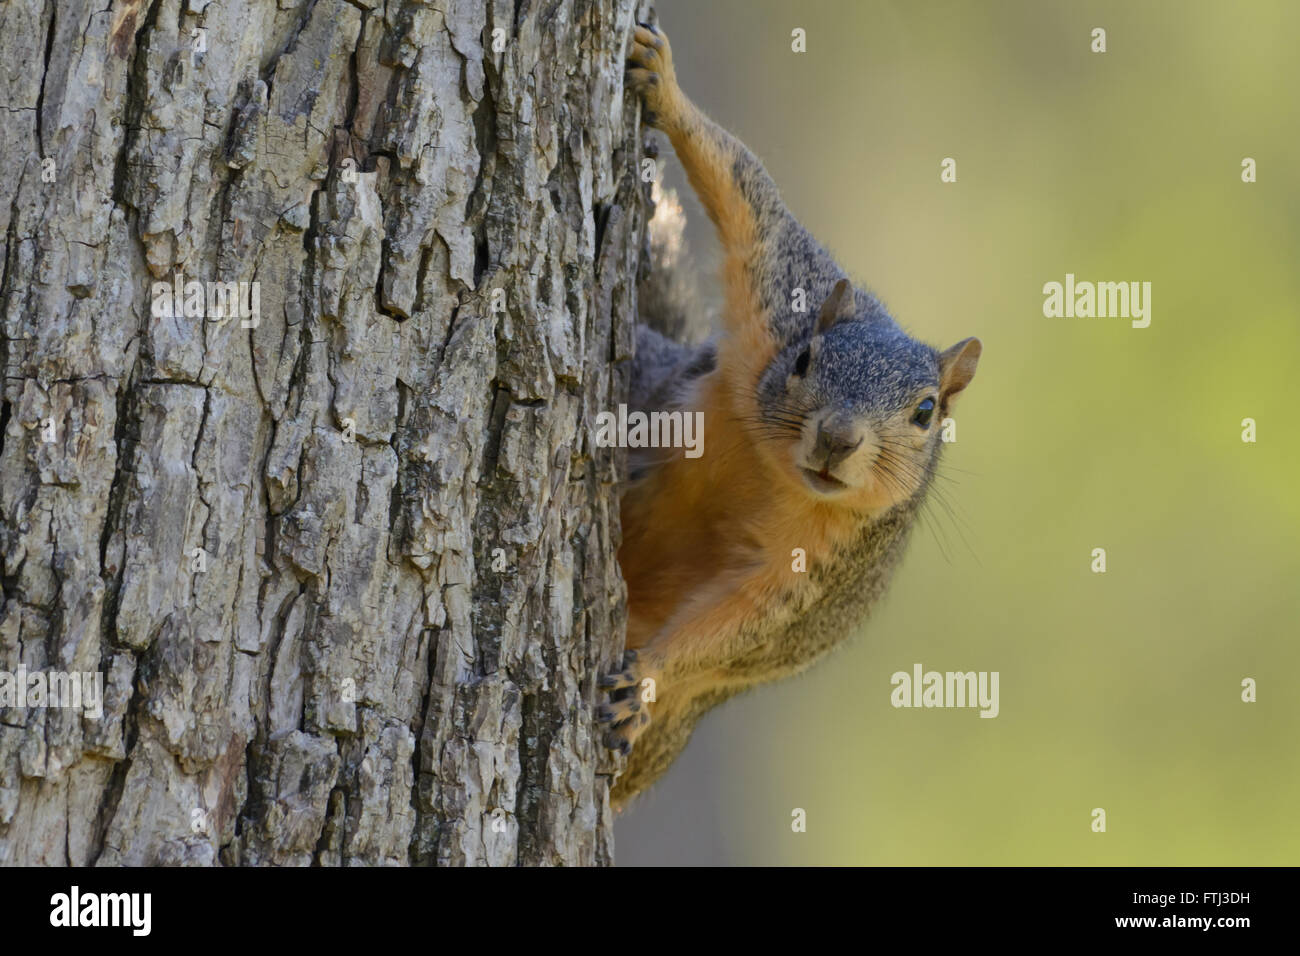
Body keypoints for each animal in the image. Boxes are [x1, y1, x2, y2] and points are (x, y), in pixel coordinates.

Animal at [600, 22, 982, 806]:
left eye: (927, 411)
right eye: (806, 360)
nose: (837, 438)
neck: (773, 475)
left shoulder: (814, 574)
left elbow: (744, 628)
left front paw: (645, 676)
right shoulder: (778, 301)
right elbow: (753, 203)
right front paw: (663, 85)